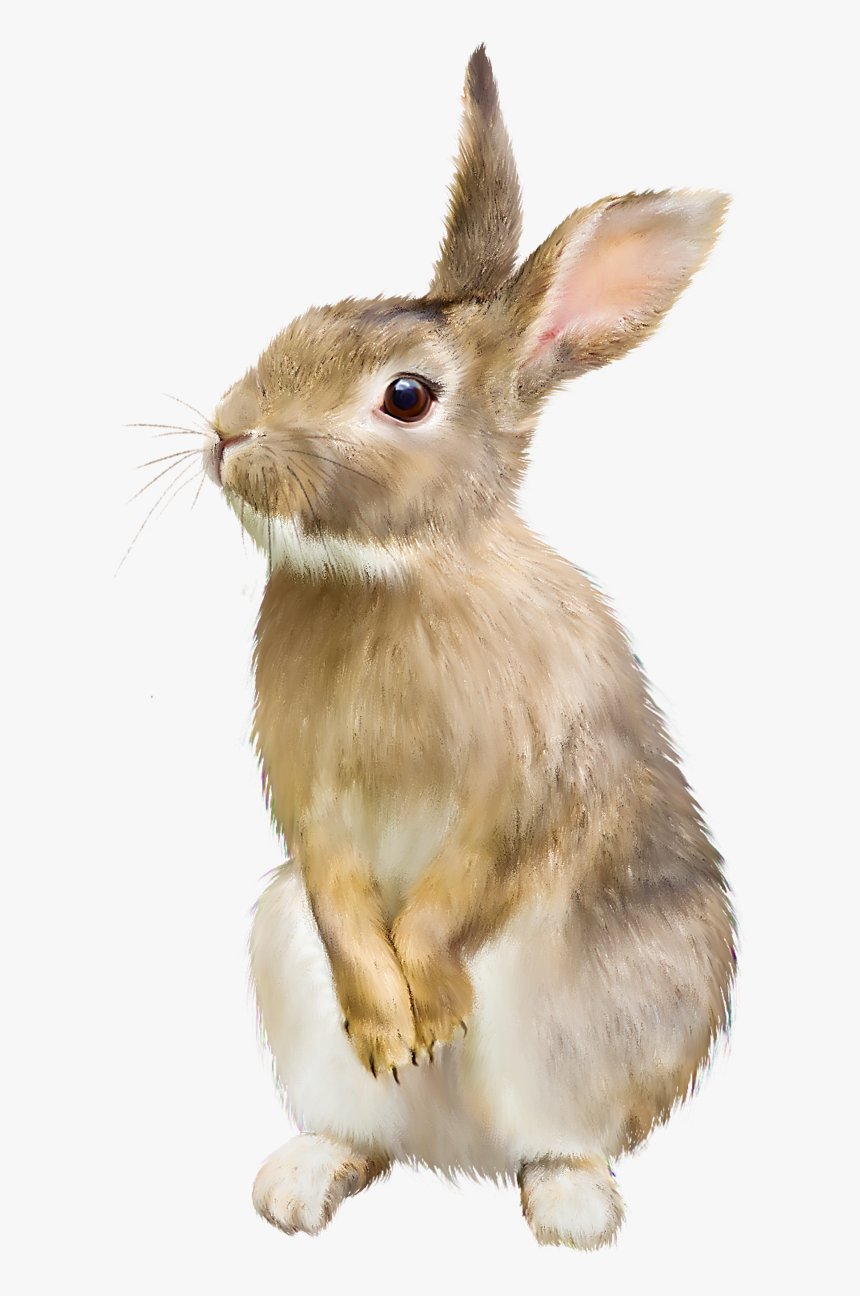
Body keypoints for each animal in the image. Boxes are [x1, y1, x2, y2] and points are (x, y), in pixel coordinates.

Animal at [197, 45, 736, 1250]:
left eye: (406, 396)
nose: (225, 432)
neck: (392, 578)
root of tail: (460, 1155)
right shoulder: (310, 801)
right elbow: (342, 887)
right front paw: (395, 1024)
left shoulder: (523, 776)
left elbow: (459, 884)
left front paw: (431, 1005)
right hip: (283, 953)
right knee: (368, 1130)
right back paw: (306, 1176)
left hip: (601, 1008)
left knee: (557, 1135)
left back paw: (570, 1208)